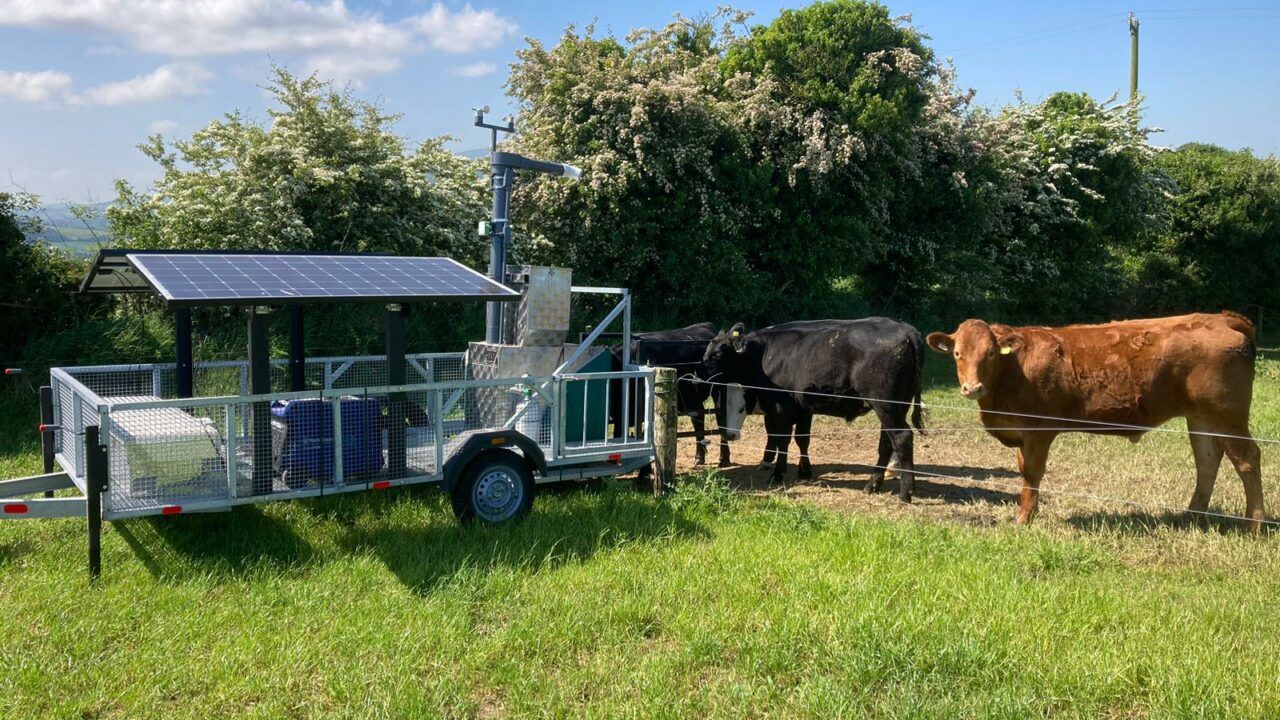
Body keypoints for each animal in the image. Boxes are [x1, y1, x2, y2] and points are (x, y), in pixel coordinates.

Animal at [610, 322, 731, 466]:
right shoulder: (619, 416)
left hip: (719, 389)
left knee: (721, 419)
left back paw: (724, 458)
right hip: (691, 396)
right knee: (698, 419)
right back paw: (699, 457)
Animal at [702, 318, 926, 499]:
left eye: (717, 354)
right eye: (706, 352)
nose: (699, 374)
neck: (762, 355)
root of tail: (907, 330)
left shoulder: (780, 408)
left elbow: (782, 441)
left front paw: (778, 474)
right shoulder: (803, 409)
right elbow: (802, 440)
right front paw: (804, 472)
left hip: (886, 405)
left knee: (901, 437)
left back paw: (905, 493)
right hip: (897, 406)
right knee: (886, 442)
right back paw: (872, 485)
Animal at [926, 312, 1265, 533]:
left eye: (991, 353)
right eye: (957, 353)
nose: (972, 388)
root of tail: (1222, 318)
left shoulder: (1038, 429)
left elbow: (1032, 472)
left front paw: (1023, 519)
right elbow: (1024, 470)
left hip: (1227, 416)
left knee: (1247, 459)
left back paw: (1255, 525)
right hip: (1200, 417)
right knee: (1207, 460)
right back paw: (1190, 517)